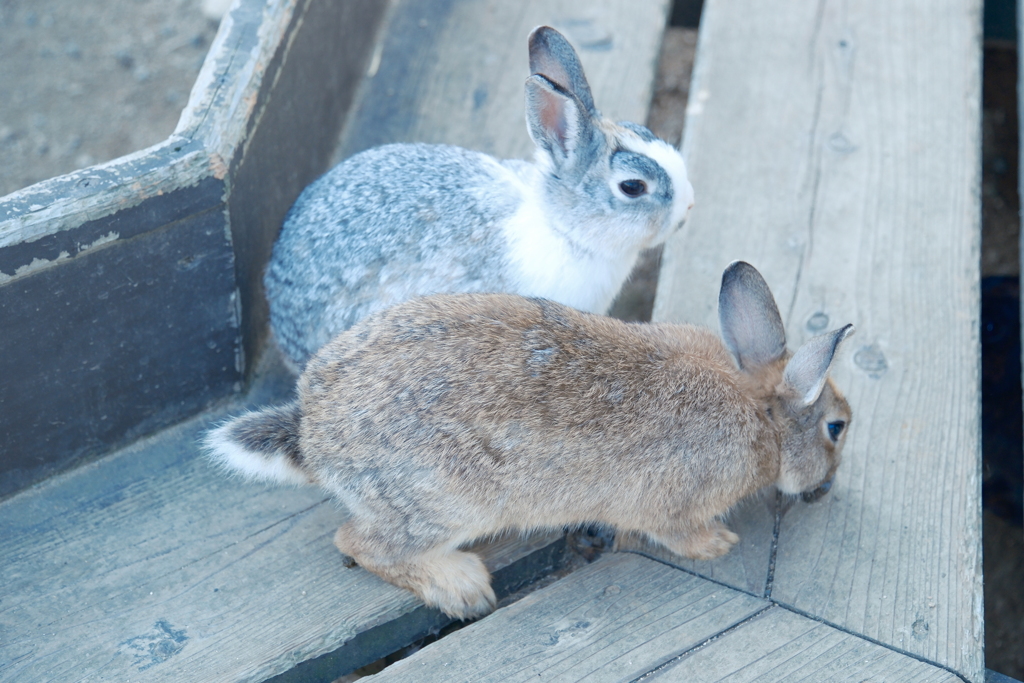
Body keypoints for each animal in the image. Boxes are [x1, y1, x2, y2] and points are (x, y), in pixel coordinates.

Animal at [207, 262, 856, 618]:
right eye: (836, 427)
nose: (828, 489)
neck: (758, 413)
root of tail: (312, 433)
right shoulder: (672, 506)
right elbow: (676, 533)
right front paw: (718, 545)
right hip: (444, 503)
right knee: (360, 542)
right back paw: (462, 587)